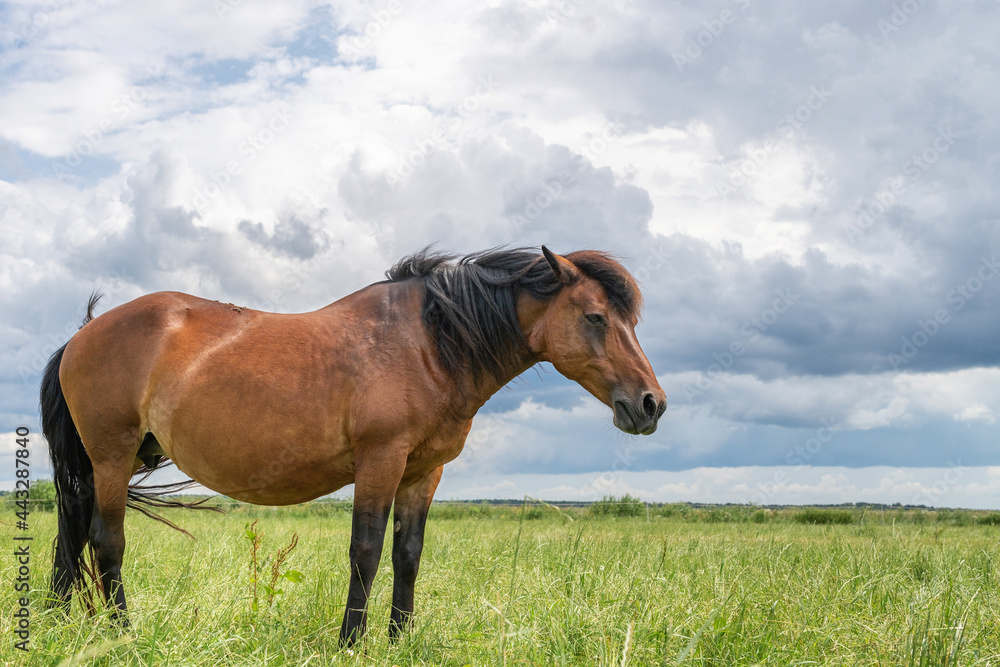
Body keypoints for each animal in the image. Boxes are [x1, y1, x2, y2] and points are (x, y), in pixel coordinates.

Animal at [41, 246, 666, 645]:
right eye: (595, 317)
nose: (650, 405)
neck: (428, 343)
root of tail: (84, 333)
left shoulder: (422, 473)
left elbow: (407, 554)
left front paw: (399, 639)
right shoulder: (380, 461)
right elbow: (365, 552)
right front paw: (351, 640)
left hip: (101, 466)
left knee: (74, 537)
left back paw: (62, 623)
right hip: (112, 458)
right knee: (107, 542)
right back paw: (122, 633)